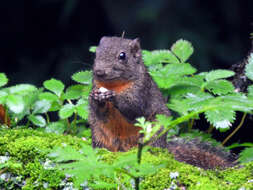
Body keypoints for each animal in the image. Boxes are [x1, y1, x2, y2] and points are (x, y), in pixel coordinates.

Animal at [88, 36, 236, 169]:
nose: (99, 72)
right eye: (96, 53)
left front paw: (113, 97)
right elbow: (100, 113)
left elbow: (134, 109)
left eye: (122, 56)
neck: (115, 85)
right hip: (99, 136)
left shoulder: (142, 90)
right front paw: (96, 98)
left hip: (154, 132)